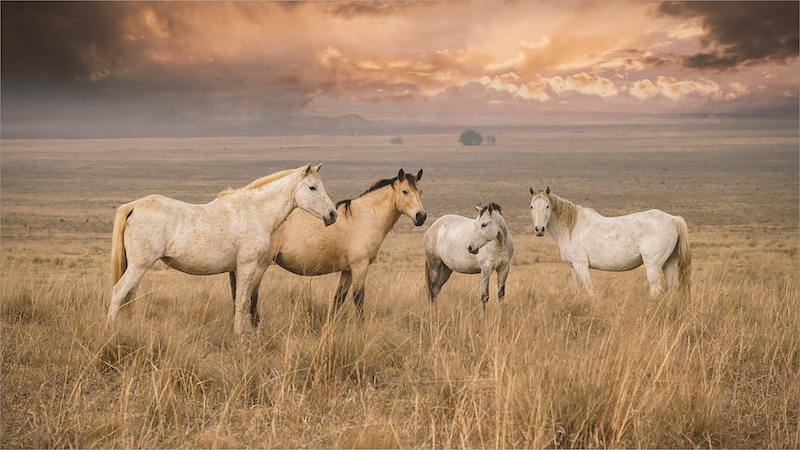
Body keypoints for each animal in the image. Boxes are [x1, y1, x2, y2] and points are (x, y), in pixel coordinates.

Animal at [108, 163, 338, 335]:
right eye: (312, 187)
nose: (332, 214)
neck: (255, 211)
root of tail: (134, 206)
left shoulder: (236, 269)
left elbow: (240, 299)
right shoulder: (247, 266)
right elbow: (243, 301)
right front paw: (240, 334)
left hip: (137, 268)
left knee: (130, 295)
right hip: (139, 266)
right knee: (118, 293)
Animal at [229, 169, 425, 322]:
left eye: (420, 191)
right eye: (405, 191)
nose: (421, 216)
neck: (365, 217)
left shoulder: (347, 270)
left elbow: (338, 300)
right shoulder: (360, 267)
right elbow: (358, 300)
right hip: (259, 266)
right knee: (251, 298)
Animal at [529, 186, 691, 298]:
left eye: (547, 206)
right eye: (531, 206)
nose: (539, 229)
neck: (571, 228)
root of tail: (673, 219)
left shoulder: (581, 265)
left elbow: (590, 290)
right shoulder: (573, 267)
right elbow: (577, 290)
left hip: (653, 266)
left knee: (656, 291)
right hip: (668, 264)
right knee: (671, 289)